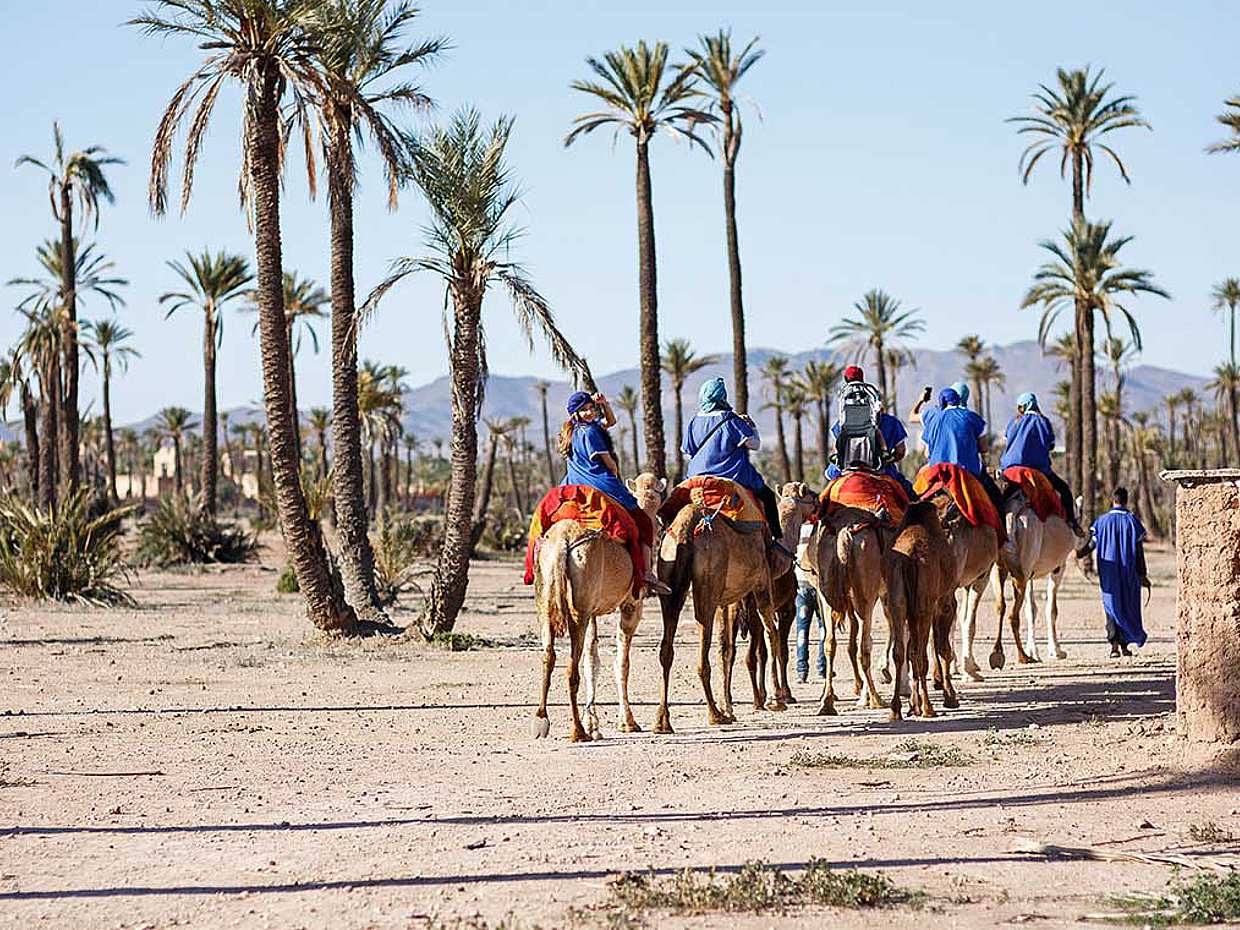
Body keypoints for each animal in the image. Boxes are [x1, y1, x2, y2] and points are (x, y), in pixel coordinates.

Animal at [532, 473, 666, 742]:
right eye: (657, 499)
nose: (658, 521)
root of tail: (563, 541)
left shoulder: (593, 610)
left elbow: (592, 660)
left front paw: (594, 724)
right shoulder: (631, 605)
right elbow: (621, 663)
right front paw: (628, 723)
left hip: (549, 597)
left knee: (549, 655)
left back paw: (542, 721)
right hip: (580, 608)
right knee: (570, 668)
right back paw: (577, 731)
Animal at [653, 481, 818, 733]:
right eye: (808, 492)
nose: (820, 500)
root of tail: (685, 530)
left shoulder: (729, 601)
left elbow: (727, 649)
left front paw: (731, 705)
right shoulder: (762, 586)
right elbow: (772, 638)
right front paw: (776, 699)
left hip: (669, 581)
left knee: (666, 649)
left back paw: (663, 721)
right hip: (707, 586)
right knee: (703, 653)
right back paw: (714, 714)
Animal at [883, 501, 959, 719]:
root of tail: (909, 558)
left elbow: (911, 650)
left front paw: (912, 704)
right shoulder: (945, 602)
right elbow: (942, 648)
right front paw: (950, 697)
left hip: (897, 603)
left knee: (901, 651)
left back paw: (896, 710)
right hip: (924, 605)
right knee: (920, 654)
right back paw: (928, 708)